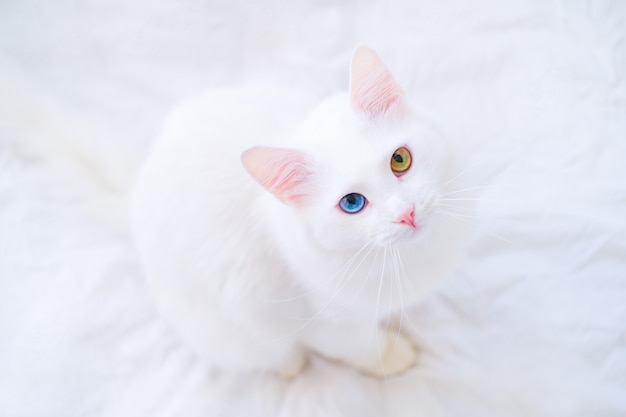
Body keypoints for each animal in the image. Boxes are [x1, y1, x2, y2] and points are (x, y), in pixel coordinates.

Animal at [129, 46, 468, 376]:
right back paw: (290, 365)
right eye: (352, 203)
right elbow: (362, 347)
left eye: (400, 159)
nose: (406, 213)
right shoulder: (316, 323)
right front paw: (394, 354)